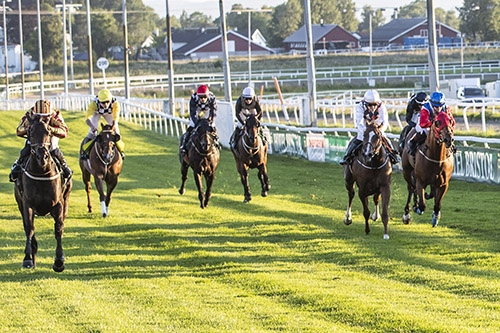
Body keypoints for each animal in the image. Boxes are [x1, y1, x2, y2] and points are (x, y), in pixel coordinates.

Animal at [14, 115, 72, 272]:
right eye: (30, 131)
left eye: (49, 131)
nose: (42, 157)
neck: (42, 173)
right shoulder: (27, 204)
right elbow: (29, 228)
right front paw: (27, 259)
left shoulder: (59, 204)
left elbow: (59, 228)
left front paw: (59, 261)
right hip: (20, 204)